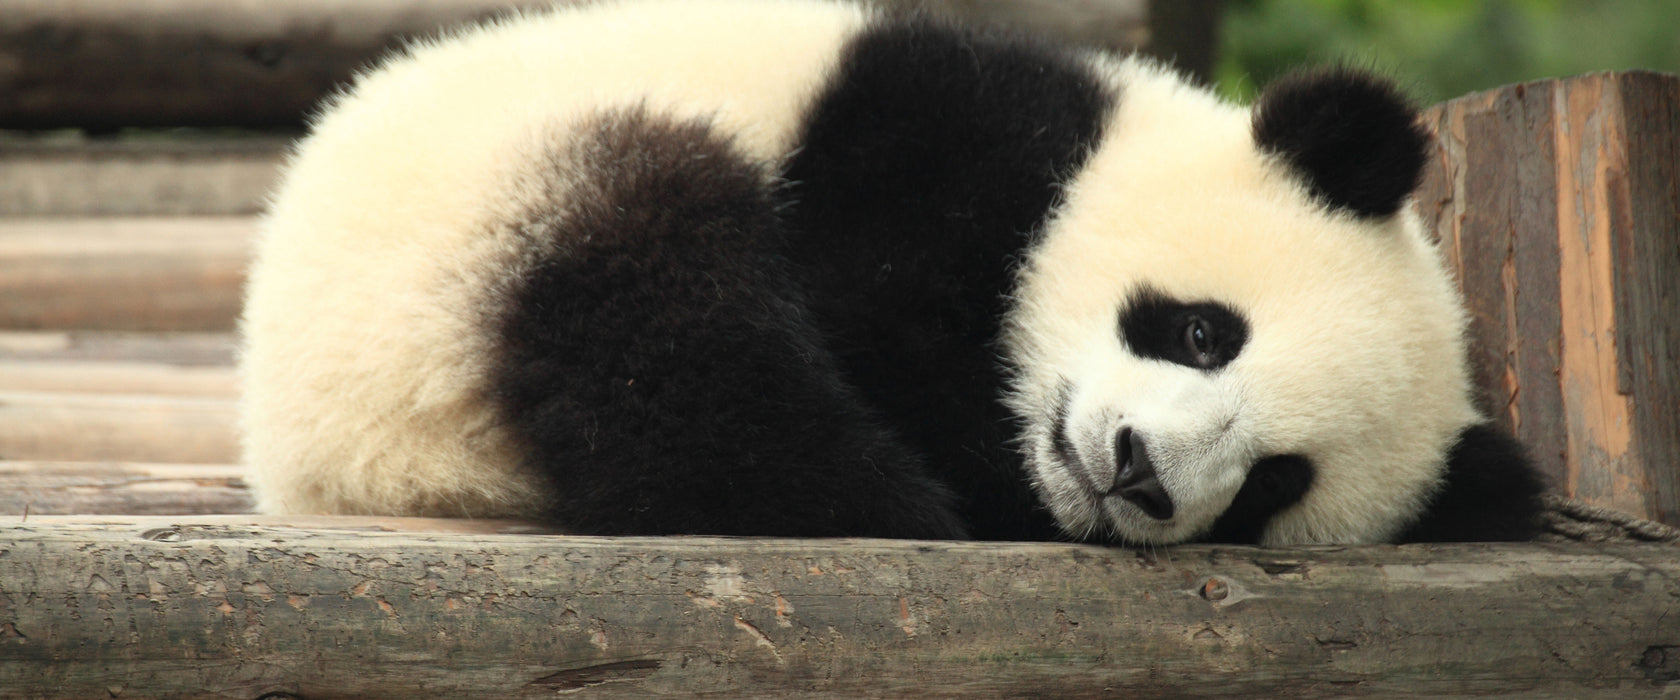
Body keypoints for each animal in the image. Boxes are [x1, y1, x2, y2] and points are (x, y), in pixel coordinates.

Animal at [240, 0, 1545, 543]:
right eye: (1202, 331)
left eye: (1276, 481)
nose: (1135, 474)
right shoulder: (932, 136)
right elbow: (873, 312)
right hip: (470, 232)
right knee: (666, 320)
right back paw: (880, 497)